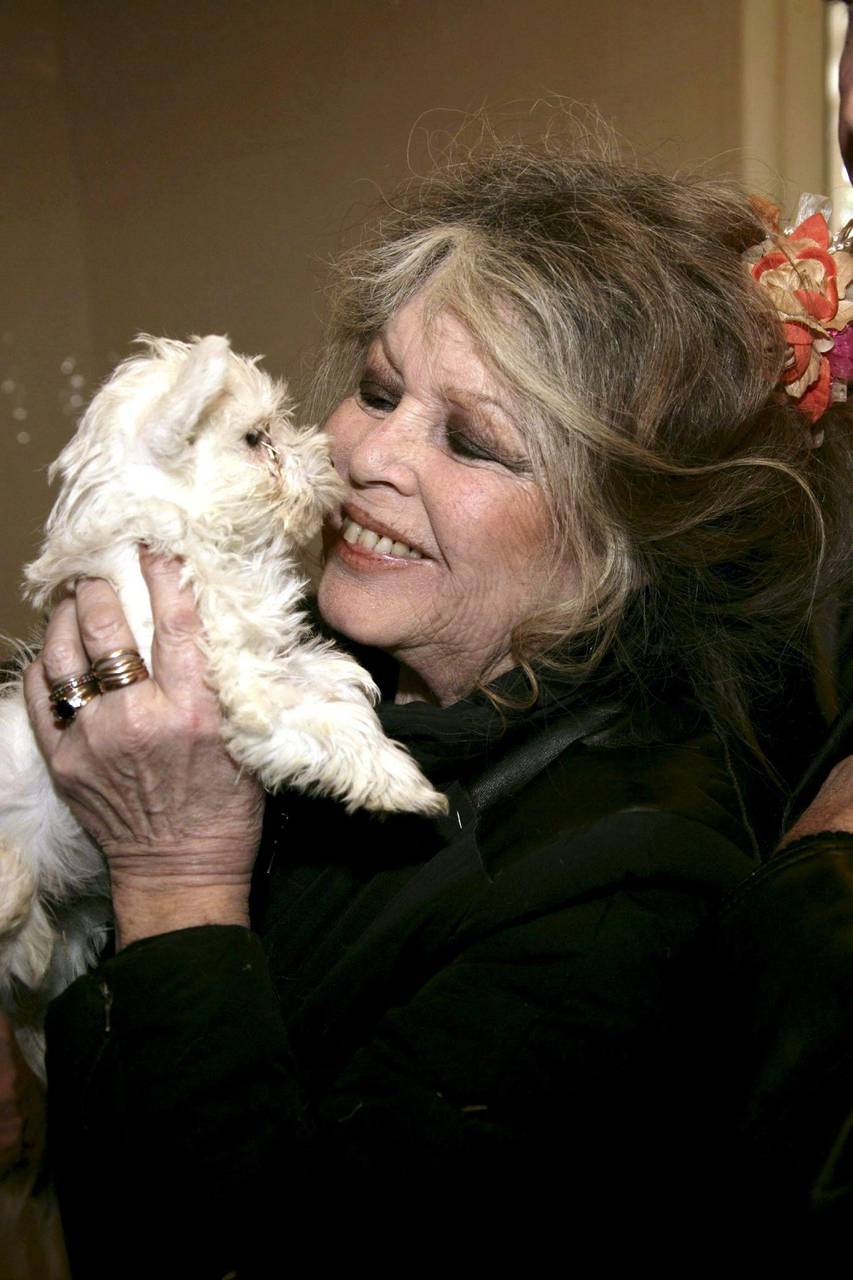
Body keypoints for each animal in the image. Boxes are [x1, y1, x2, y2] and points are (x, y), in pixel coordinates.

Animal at [0, 334, 445, 1073]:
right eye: (256, 439)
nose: (327, 455)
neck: (182, 541)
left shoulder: (263, 651)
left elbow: (328, 690)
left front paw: (366, 709)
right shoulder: (245, 685)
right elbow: (323, 725)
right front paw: (401, 784)